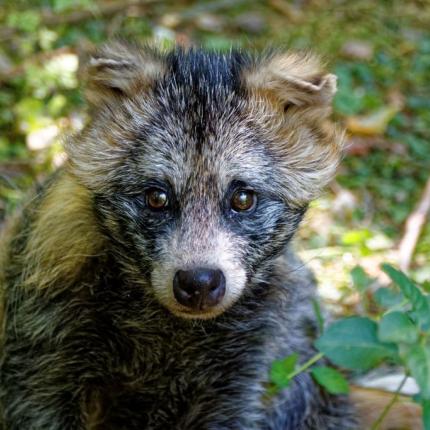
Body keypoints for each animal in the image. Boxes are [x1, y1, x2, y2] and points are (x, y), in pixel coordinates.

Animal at [0, 42, 356, 428]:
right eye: (157, 197)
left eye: (242, 198)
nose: (199, 282)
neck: (172, 327)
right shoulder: (42, 333)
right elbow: (36, 404)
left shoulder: (247, 364)